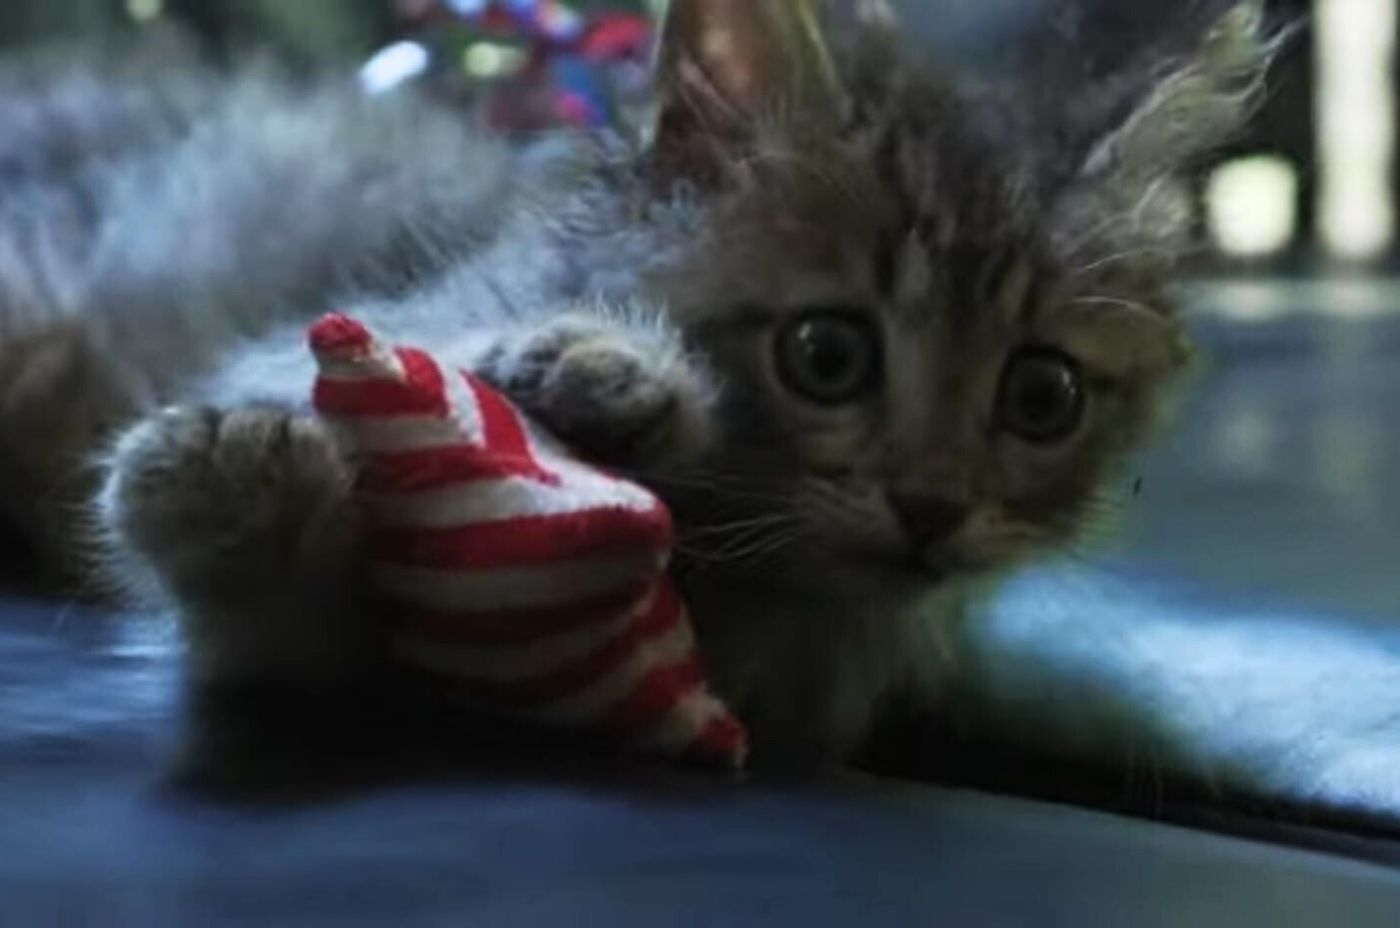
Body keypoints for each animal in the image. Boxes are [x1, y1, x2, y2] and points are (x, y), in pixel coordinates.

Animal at [0, 1, 1271, 767]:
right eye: (826, 356)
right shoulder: (309, 346)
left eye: (1041, 397)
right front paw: (583, 366)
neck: (736, 579)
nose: (931, 505)